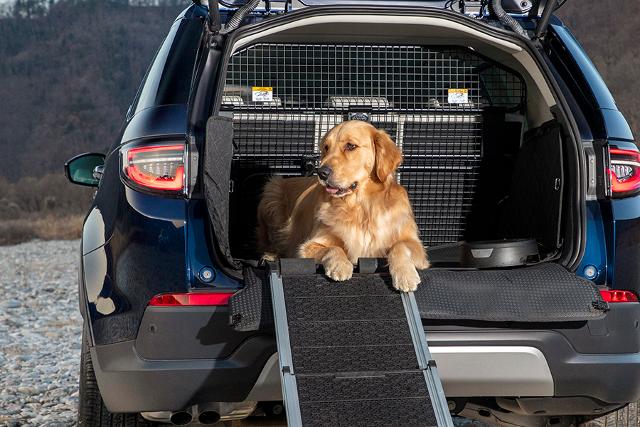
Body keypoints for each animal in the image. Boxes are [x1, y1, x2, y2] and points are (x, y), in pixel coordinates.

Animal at [255, 122, 430, 292]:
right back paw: (271, 255)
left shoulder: (417, 247)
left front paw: (405, 275)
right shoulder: (306, 247)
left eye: (351, 146)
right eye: (326, 147)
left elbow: (400, 246)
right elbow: (333, 248)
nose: (322, 173)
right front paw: (341, 265)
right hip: (272, 192)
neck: (361, 207)